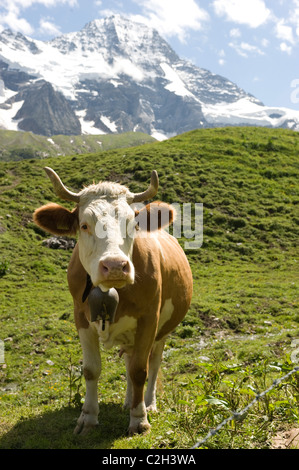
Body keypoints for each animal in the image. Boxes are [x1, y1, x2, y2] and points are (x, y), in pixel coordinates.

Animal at [34, 167, 193, 436]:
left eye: (133, 224)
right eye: (84, 225)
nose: (116, 266)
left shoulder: (149, 319)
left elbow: (140, 370)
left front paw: (139, 420)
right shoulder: (81, 318)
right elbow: (92, 370)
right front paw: (87, 418)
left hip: (162, 332)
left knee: (153, 362)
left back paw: (148, 403)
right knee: (129, 360)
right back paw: (129, 401)